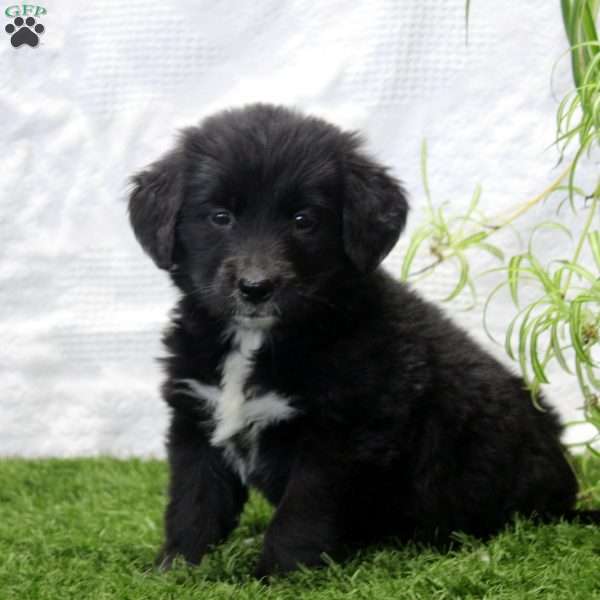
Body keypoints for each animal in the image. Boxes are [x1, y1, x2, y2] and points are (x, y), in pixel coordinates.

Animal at [130, 103, 580, 576]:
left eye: (304, 220)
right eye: (220, 217)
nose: (256, 287)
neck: (255, 341)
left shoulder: (341, 434)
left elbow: (300, 514)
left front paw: (278, 575)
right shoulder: (198, 417)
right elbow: (193, 503)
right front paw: (177, 569)